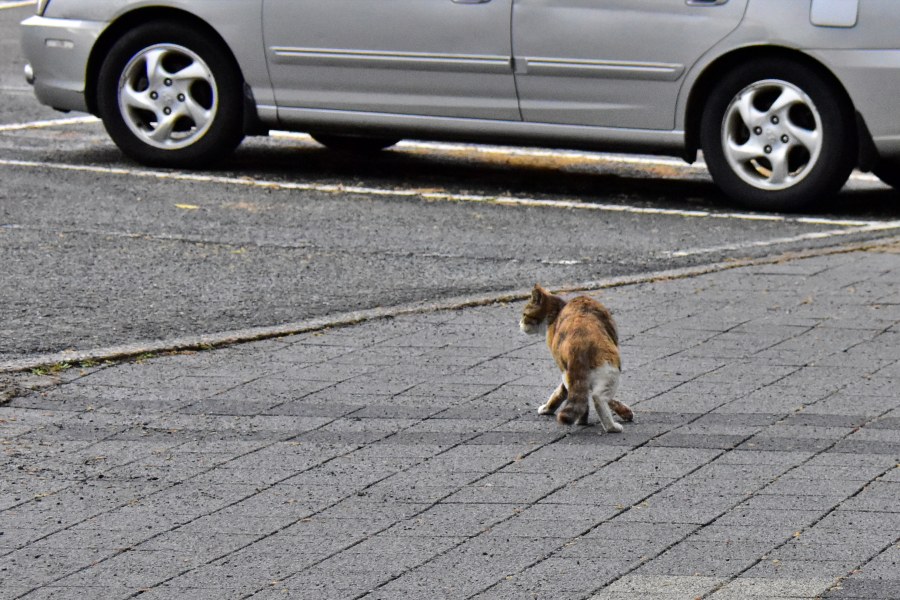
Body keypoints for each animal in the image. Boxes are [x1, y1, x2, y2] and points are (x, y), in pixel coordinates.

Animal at [520, 284, 632, 432]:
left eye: (524, 314)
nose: (519, 323)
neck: (556, 312)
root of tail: (578, 341)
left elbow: (561, 392)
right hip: (610, 369)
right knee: (597, 397)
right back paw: (610, 426)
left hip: (574, 371)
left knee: (586, 396)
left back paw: (586, 420)